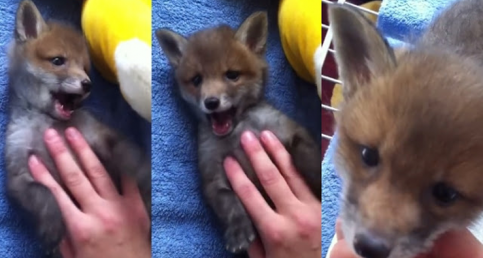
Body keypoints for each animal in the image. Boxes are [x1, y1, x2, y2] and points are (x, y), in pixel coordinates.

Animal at [4, 1, 151, 256]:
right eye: (58, 61)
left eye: (84, 68)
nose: (87, 85)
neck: (46, 122)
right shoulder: (17, 174)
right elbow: (44, 195)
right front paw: (52, 228)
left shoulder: (100, 134)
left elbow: (127, 152)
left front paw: (143, 171)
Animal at [158, 12, 322, 254]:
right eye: (197, 80)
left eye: (232, 75)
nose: (211, 102)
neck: (239, 130)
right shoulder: (212, 175)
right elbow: (229, 202)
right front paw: (238, 229)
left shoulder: (291, 131)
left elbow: (306, 156)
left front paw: (319, 182)